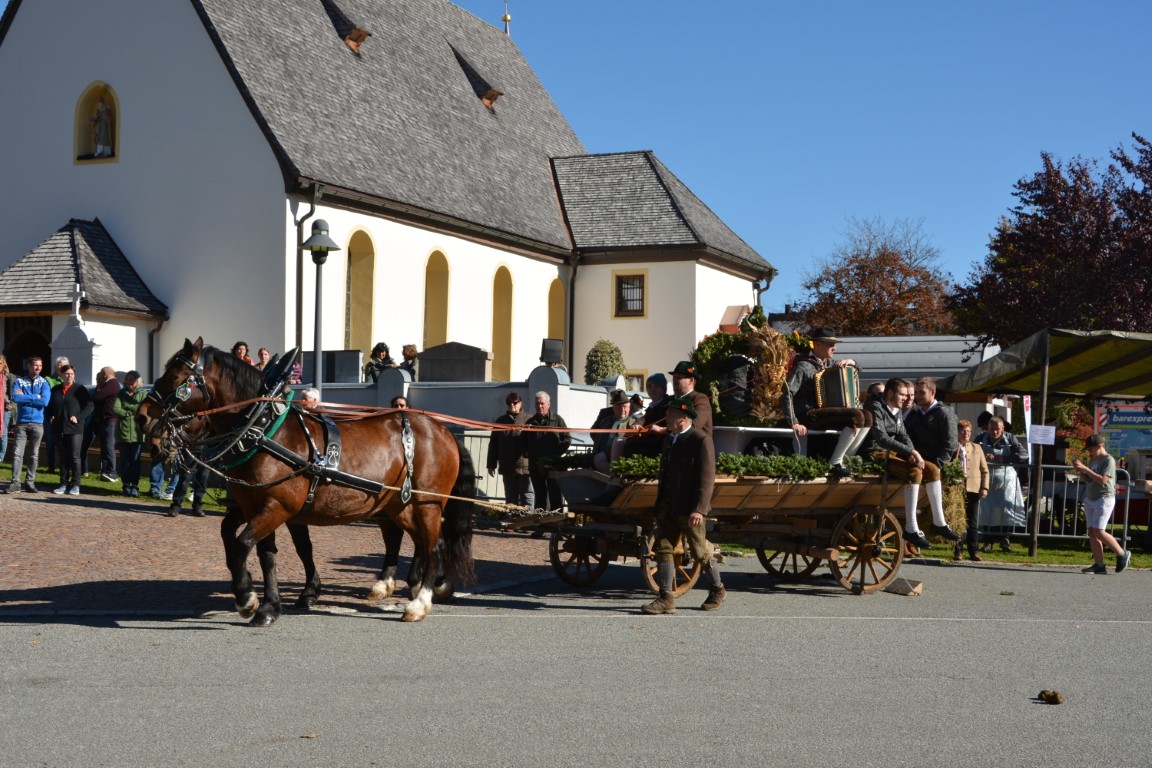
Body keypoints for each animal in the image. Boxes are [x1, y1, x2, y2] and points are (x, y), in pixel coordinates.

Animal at [145, 337, 474, 624]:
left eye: (174, 375)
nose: (146, 418)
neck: (265, 429)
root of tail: (442, 430)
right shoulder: (256, 505)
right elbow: (259, 549)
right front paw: (269, 605)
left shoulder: (278, 507)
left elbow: (243, 544)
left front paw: (247, 598)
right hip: (398, 505)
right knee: (418, 540)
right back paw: (421, 586)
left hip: (427, 503)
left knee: (433, 545)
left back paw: (420, 601)